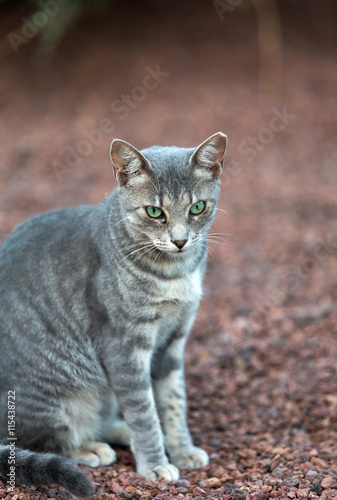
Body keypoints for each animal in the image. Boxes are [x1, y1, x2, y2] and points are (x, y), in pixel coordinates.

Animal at [0, 131, 227, 498]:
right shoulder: (124, 347)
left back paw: (120, 432)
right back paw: (90, 447)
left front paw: (181, 448)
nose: (180, 241)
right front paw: (155, 464)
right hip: (58, 392)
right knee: (40, 441)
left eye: (197, 207)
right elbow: (143, 410)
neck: (175, 272)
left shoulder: (173, 341)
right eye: (154, 211)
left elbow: (173, 401)